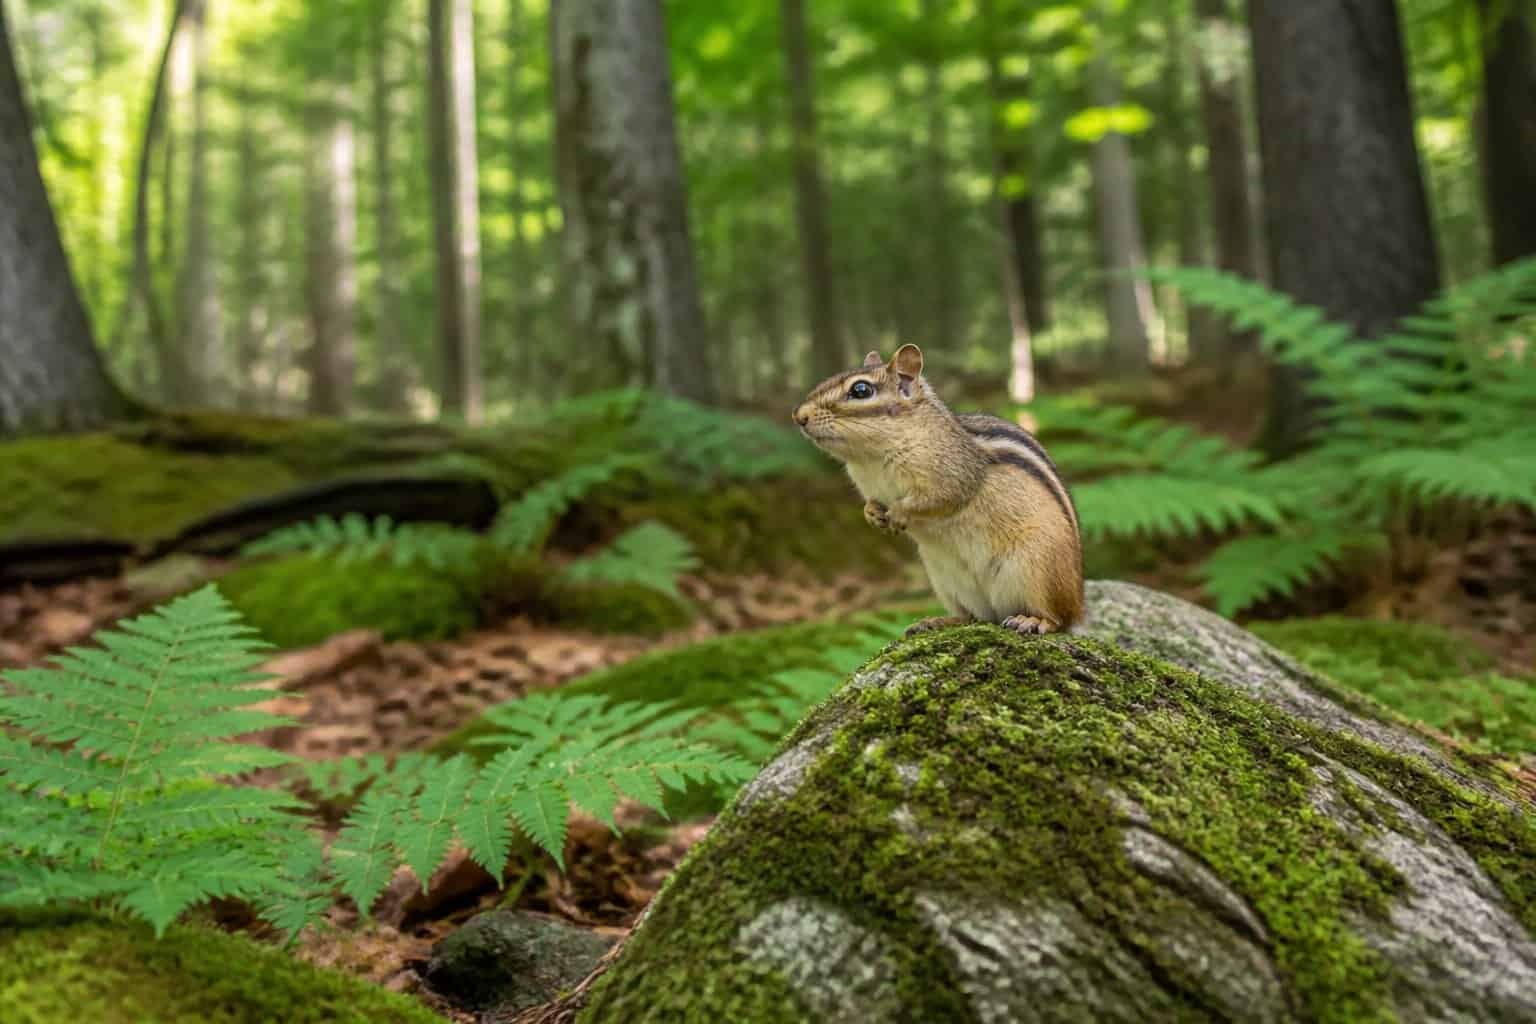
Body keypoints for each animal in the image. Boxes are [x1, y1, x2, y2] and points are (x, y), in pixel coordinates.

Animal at [793, 344, 1083, 636]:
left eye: (861, 390)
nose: (799, 417)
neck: (871, 458)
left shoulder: (953, 475)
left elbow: (939, 499)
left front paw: (898, 513)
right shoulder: (871, 487)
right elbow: (872, 502)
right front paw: (872, 514)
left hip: (1038, 569)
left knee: (1058, 619)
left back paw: (1035, 620)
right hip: (946, 579)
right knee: (972, 616)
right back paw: (938, 621)